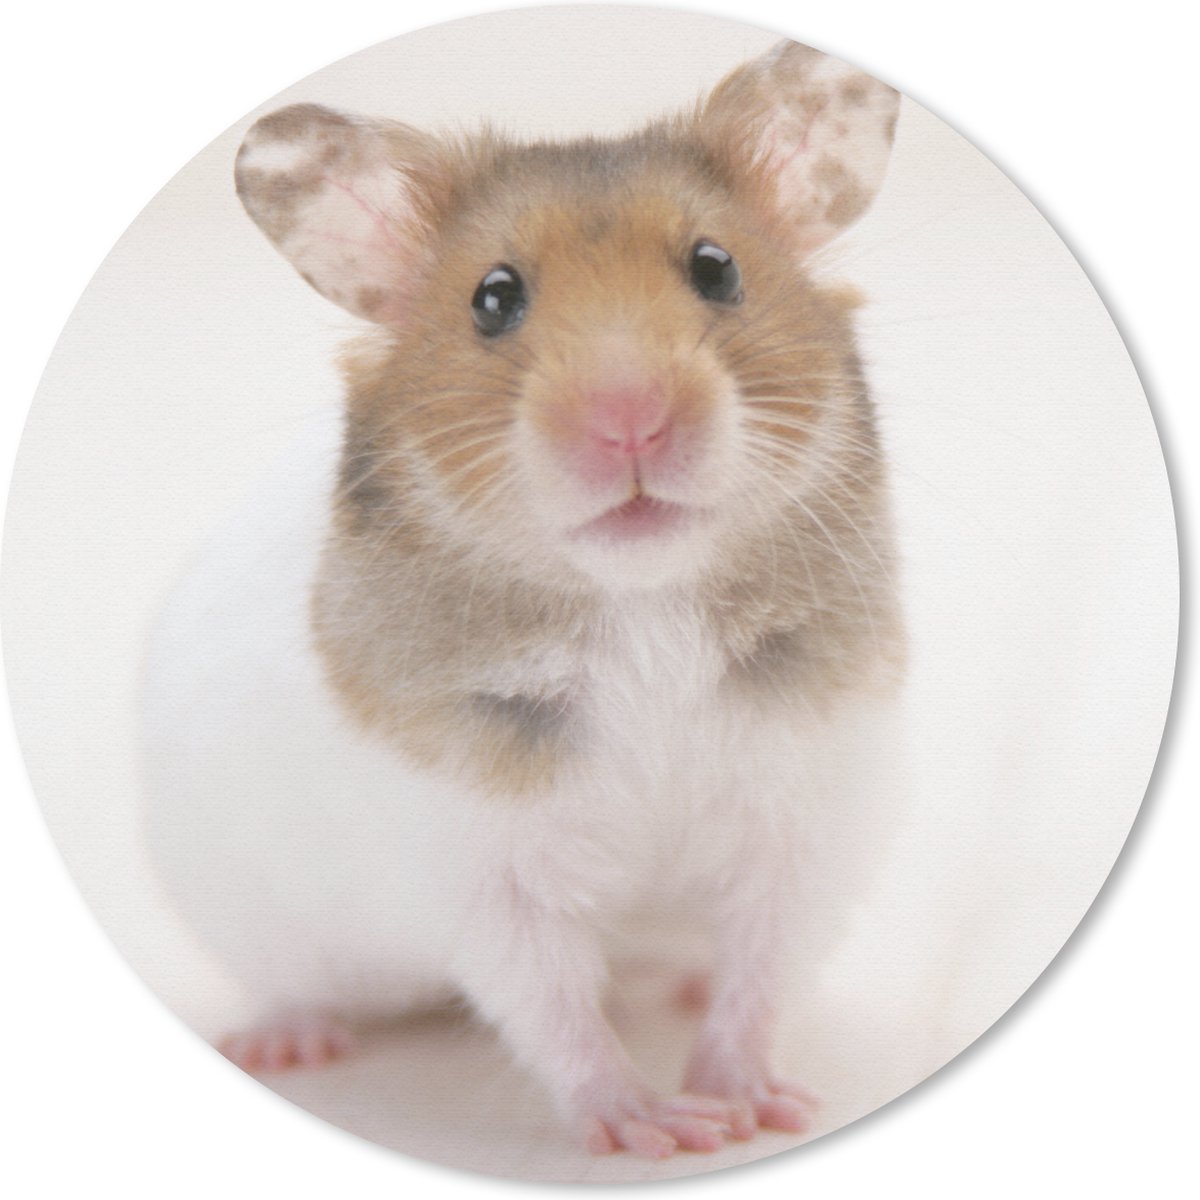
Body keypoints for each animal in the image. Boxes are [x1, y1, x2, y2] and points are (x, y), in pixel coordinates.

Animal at [142, 40, 906, 1159]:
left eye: (716, 268)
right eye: (493, 298)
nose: (629, 419)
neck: (641, 606)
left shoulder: (805, 813)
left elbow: (761, 970)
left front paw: (754, 1106)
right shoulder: (484, 866)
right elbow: (552, 1007)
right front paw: (659, 1129)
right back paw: (286, 1044)